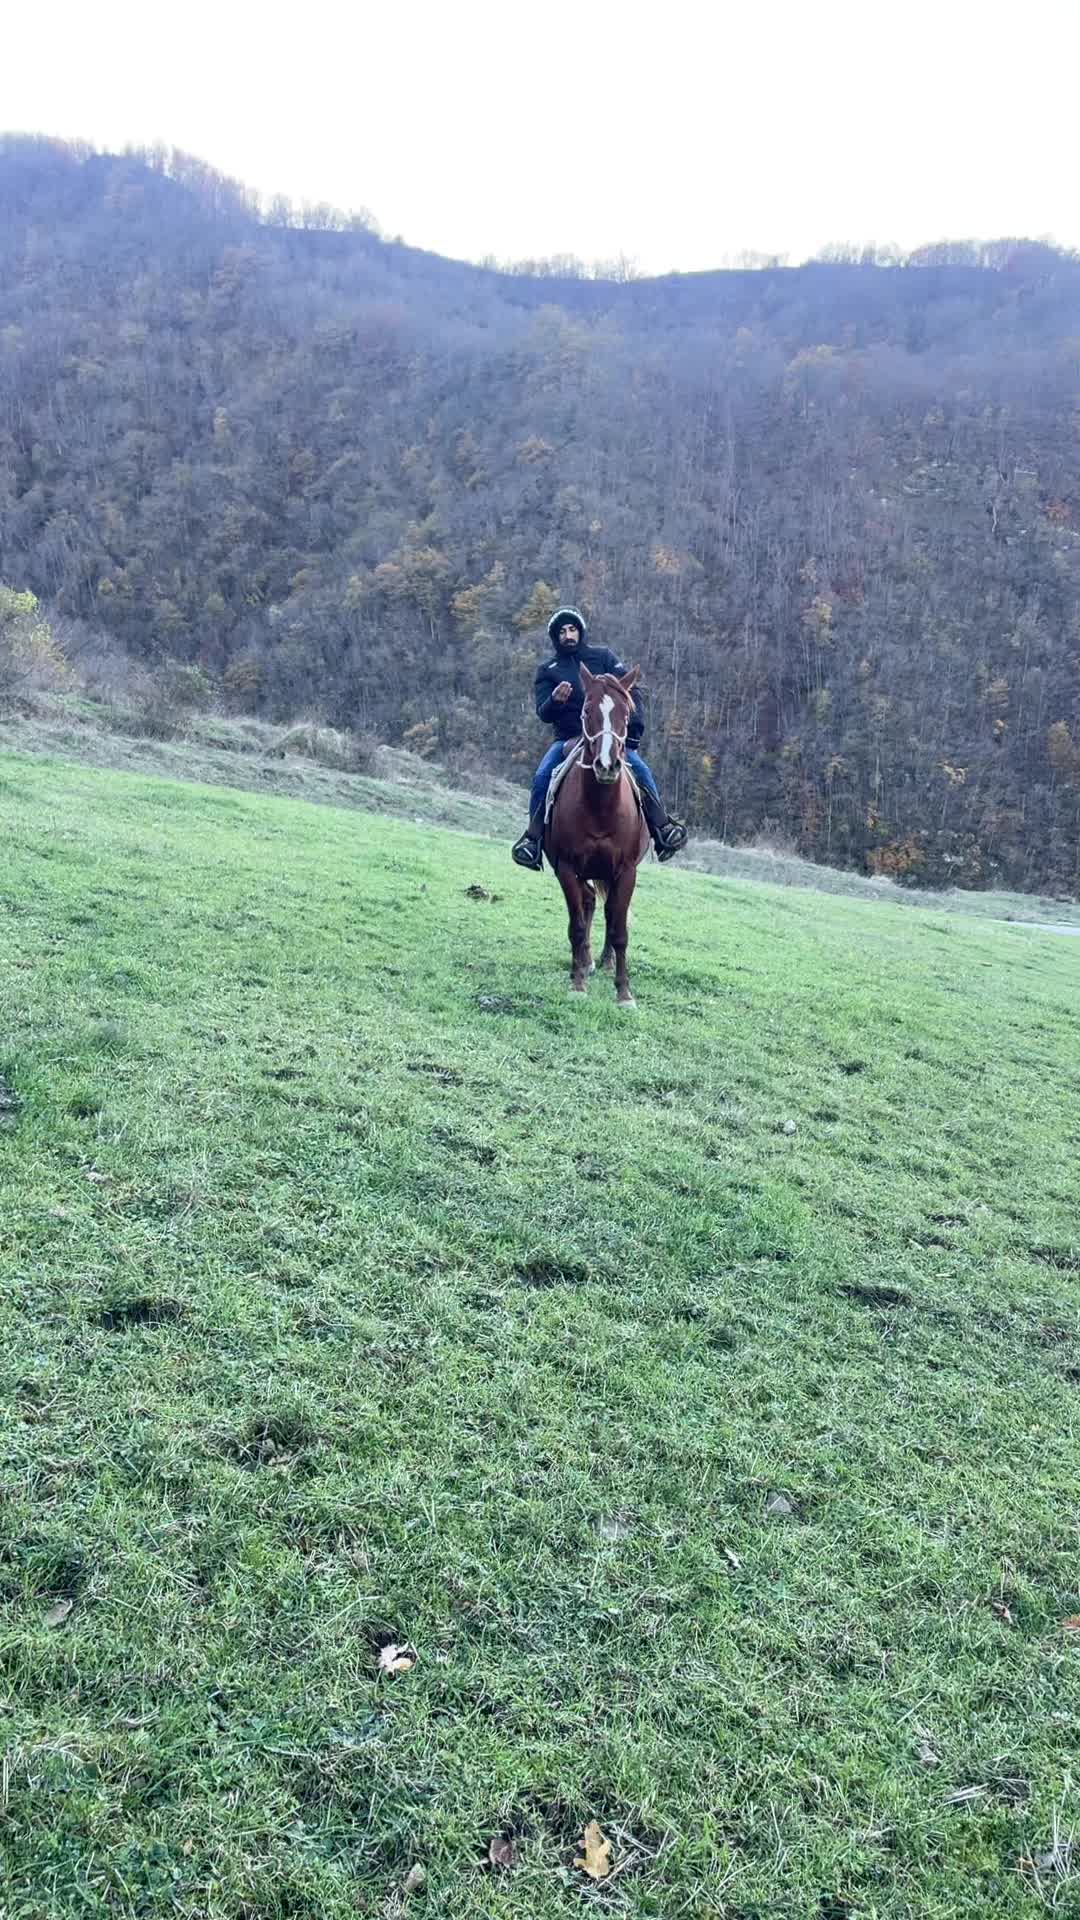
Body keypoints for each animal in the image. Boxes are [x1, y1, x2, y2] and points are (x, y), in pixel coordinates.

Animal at [543, 664, 650, 1008]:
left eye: (627, 714)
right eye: (586, 710)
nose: (606, 765)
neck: (601, 808)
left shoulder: (626, 871)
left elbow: (619, 929)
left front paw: (624, 992)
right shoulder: (566, 868)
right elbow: (577, 927)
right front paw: (577, 984)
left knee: (608, 911)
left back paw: (604, 961)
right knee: (589, 904)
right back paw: (585, 963)